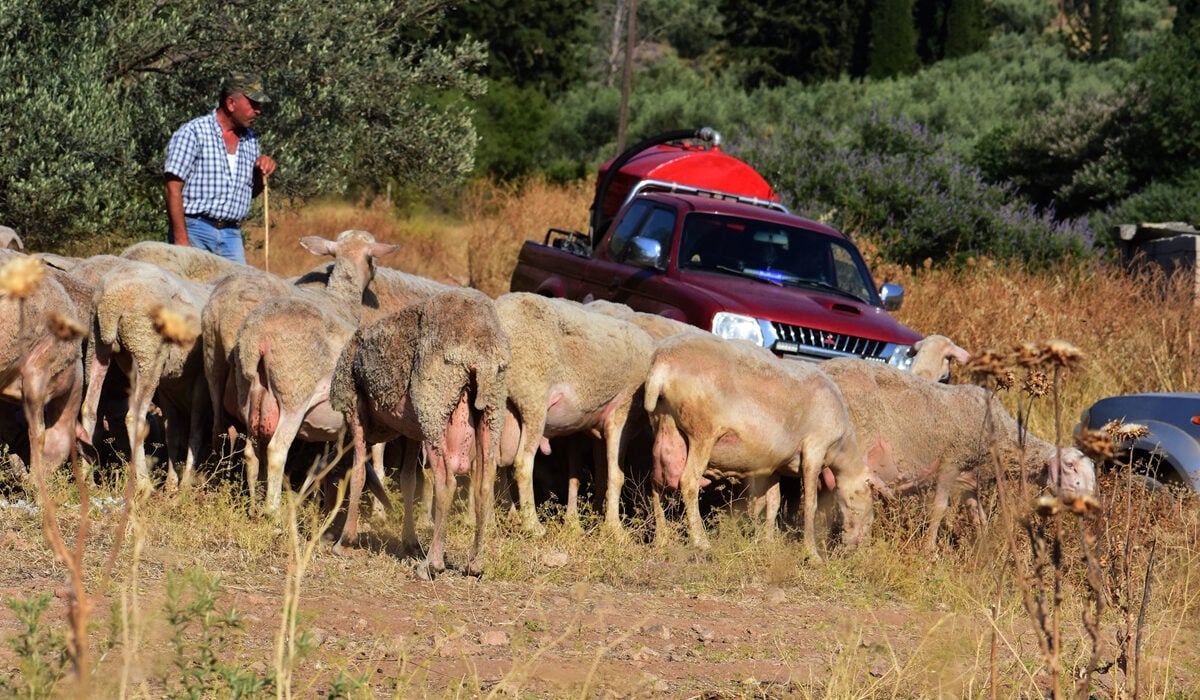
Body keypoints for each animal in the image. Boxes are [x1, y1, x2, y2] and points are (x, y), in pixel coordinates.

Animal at [328, 288, 511, 578]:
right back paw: (475, 564)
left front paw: (344, 542)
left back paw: (432, 565)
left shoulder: (354, 411)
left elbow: (357, 474)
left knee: (446, 481)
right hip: (491, 409)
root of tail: (480, 347)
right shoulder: (412, 431)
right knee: (484, 483)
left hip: (433, 405)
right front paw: (411, 543)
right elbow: (408, 481)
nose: (327, 530)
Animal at [643, 333, 868, 559]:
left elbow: (773, 502)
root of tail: (662, 363)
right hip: (702, 431)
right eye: (869, 493)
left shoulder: (775, 466)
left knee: (656, 480)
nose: (858, 546)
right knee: (688, 481)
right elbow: (810, 506)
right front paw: (813, 554)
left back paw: (661, 541)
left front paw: (767, 543)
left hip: (663, 424)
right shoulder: (815, 449)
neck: (842, 447)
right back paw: (701, 542)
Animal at [825, 357, 1099, 549]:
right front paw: (929, 551)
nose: (1091, 505)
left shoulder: (970, 482)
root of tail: (827, 367)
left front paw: (983, 553)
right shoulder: (951, 462)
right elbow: (939, 508)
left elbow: (979, 519)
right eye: (1070, 466)